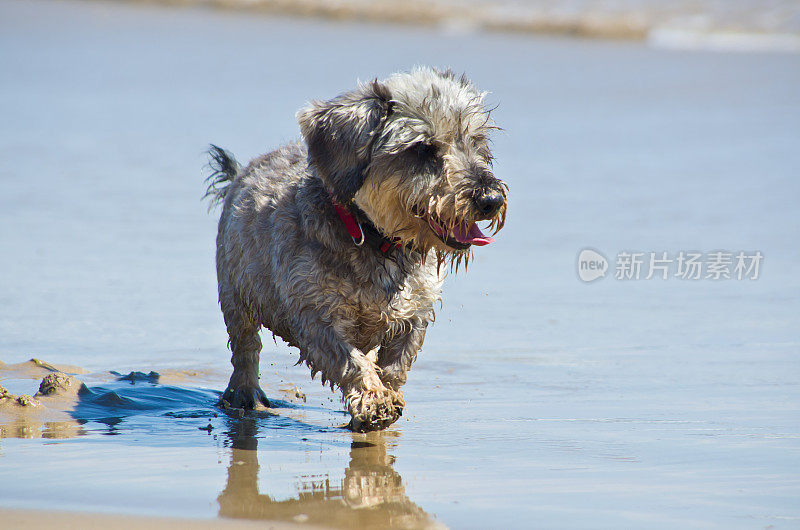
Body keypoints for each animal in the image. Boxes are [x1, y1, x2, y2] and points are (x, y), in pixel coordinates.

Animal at [205, 66, 506, 428]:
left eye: (476, 141)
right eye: (422, 149)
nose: (491, 199)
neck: (378, 239)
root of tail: (241, 173)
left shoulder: (416, 313)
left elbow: (396, 364)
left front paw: (386, 395)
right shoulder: (315, 315)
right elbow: (350, 361)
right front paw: (373, 398)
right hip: (236, 296)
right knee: (246, 349)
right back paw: (244, 394)